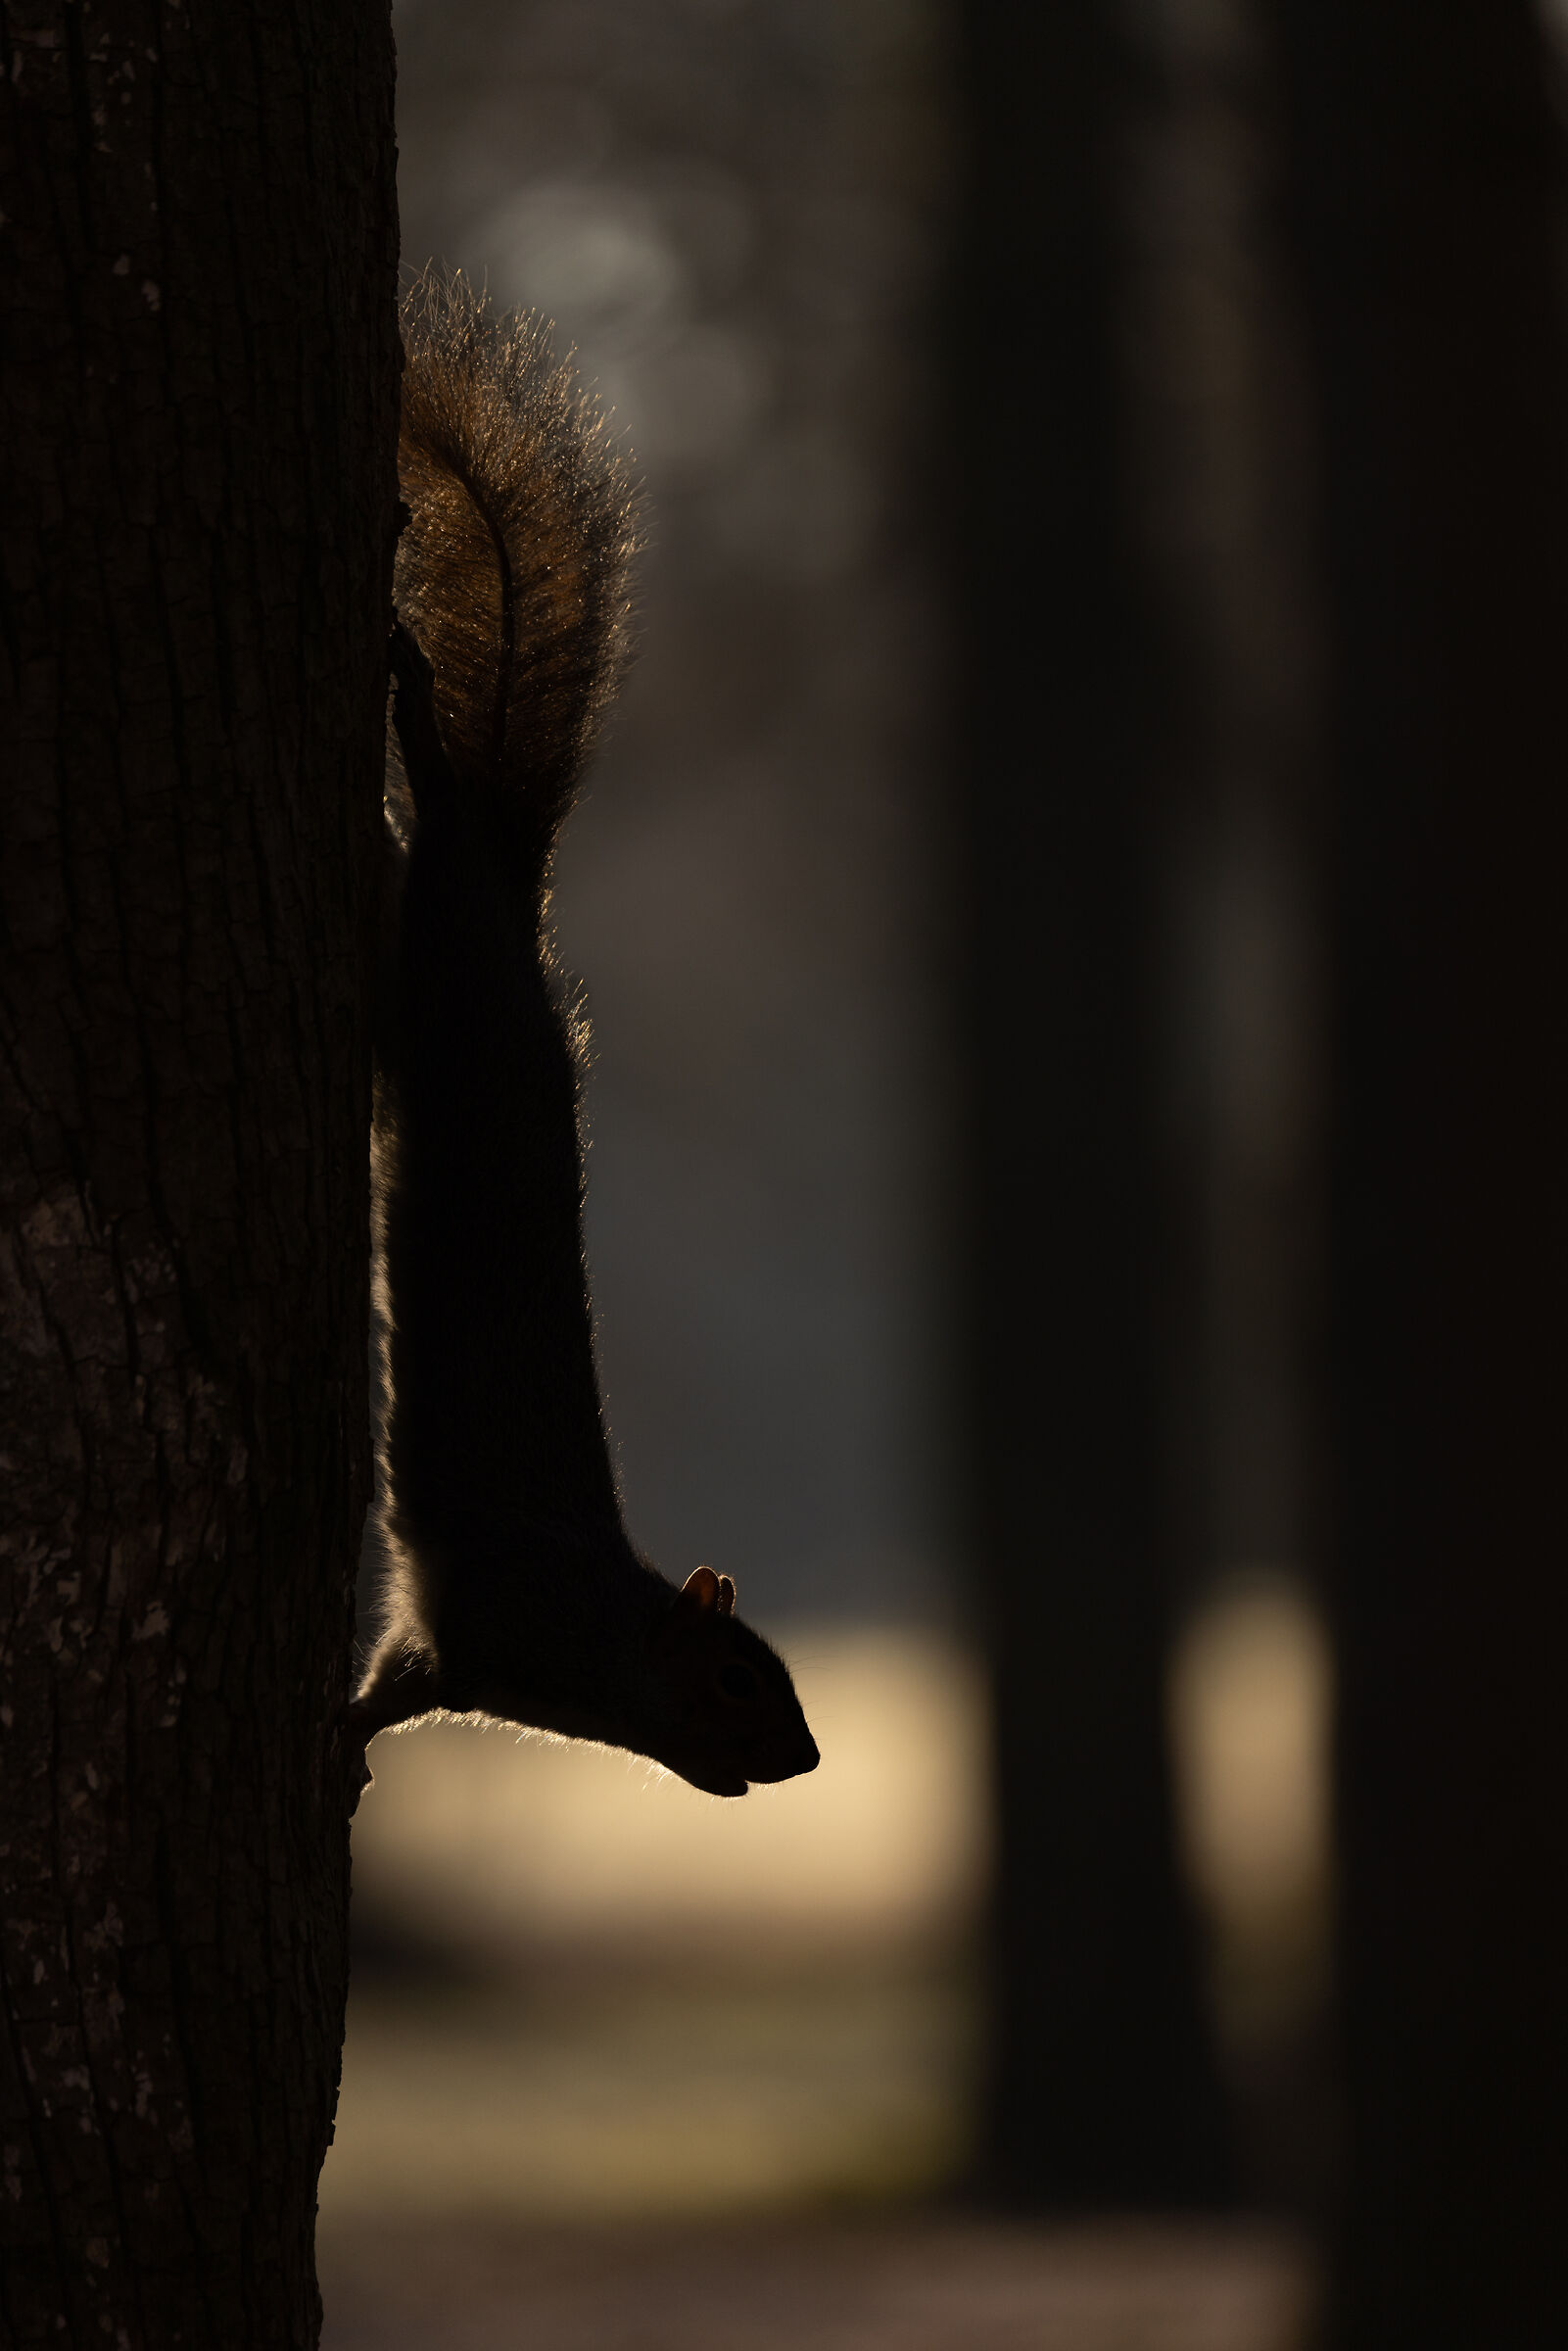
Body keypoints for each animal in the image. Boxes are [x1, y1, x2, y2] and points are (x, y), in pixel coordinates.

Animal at [349, 276, 819, 1804]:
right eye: (735, 1679)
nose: (804, 1762)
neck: (598, 1642)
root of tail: (510, 894)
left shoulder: (472, 1659)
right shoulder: (480, 1623)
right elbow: (390, 1685)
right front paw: (333, 1739)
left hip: (421, 952)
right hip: (443, 964)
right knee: (429, 800)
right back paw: (412, 710)